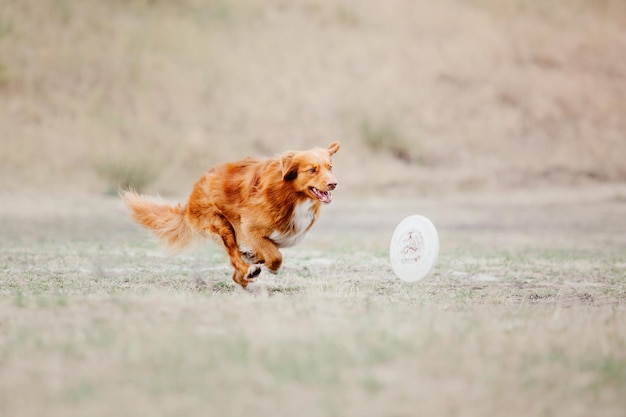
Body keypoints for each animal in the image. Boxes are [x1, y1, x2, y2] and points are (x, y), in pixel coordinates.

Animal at [120, 141, 338, 288]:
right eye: (312, 170)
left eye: (330, 167)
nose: (333, 183)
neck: (290, 194)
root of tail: (193, 193)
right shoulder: (250, 229)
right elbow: (275, 257)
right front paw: (269, 267)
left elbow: (265, 253)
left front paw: (256, 261)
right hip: (221, 225)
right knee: (234, 257)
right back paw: (249, 271)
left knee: (236, 273)